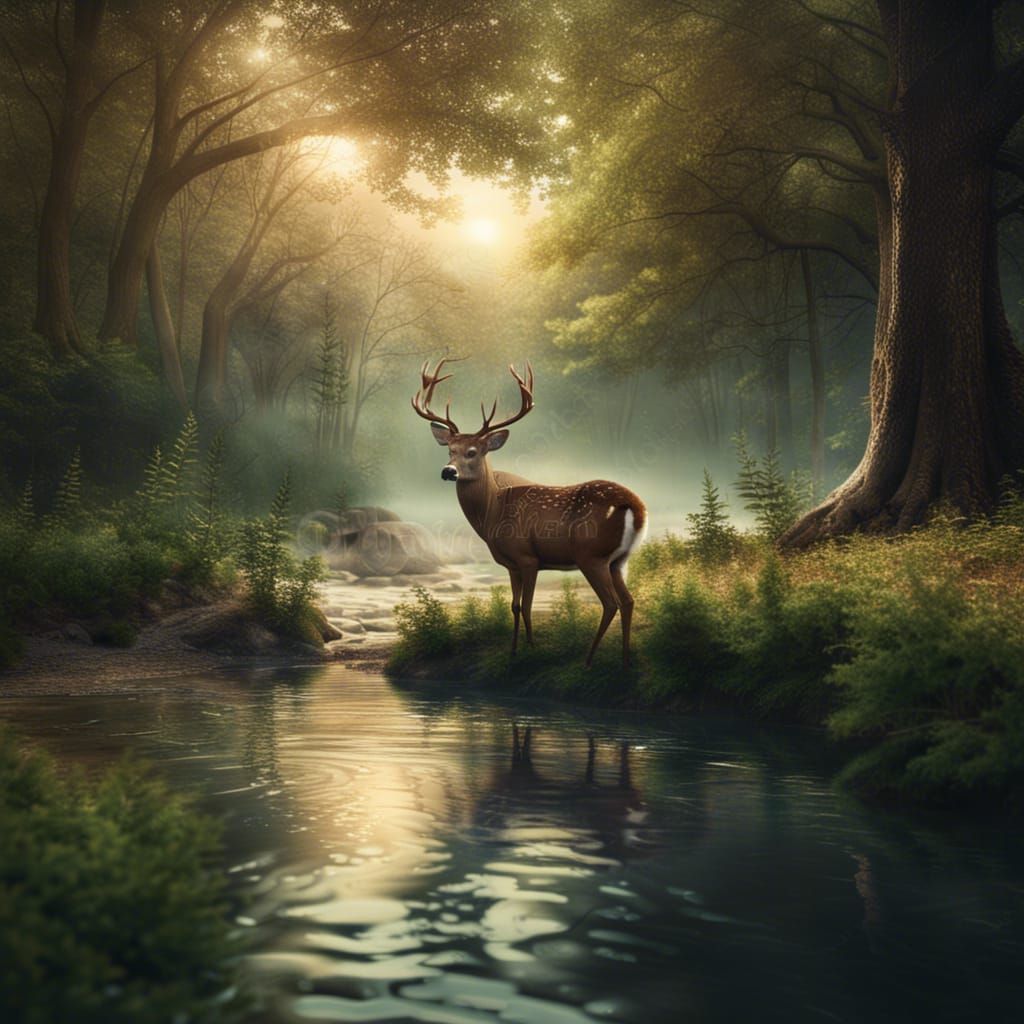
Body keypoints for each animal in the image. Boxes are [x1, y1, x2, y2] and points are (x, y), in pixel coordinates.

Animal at [412, 359, 647, 668]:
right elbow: (513, 606)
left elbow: (527, 606)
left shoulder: (528, 557)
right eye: (450, 450)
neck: (493, 513)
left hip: (591, 555)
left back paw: (588, 659)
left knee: (611, 603)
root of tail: (636, 506)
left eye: (472, 452)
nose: (448, 471)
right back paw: (625, 660)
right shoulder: (511, 564)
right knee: (629, 601)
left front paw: (532, 650)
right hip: (618, 560)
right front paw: (513, 651)